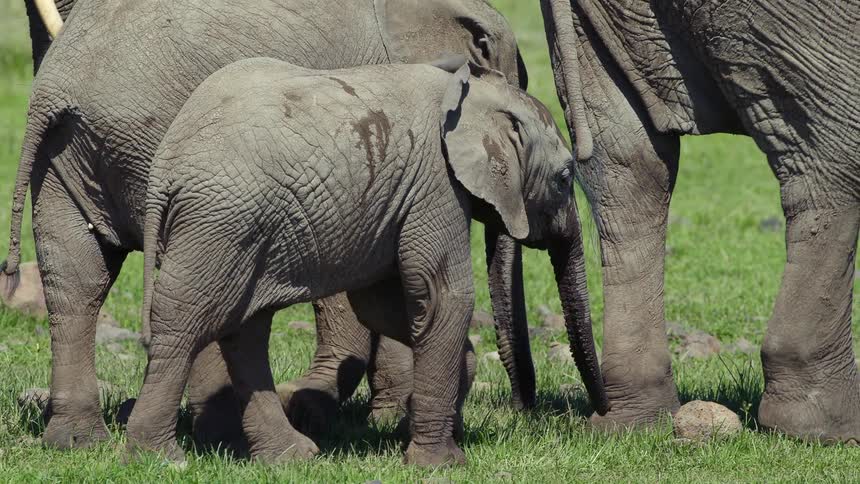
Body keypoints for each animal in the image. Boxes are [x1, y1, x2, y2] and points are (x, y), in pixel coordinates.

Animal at [2, 0, 549, 450]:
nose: (526, 409)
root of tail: (54, 91)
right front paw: (369, 415)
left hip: (64, 159)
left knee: (77, 281)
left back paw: (76, 441)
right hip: (166, 145)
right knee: (197, 285)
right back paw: (221, 434)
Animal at [131, 59, 607, 466]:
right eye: (565, 178)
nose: (597, 417)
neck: (471, 92)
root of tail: (164, 167)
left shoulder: (398, 200)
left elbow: (382, 306)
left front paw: (455, 390)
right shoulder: (436, 184)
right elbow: (441, 297)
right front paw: (442, 463)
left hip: (245, 228)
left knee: (243, 330)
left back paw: (293, 457)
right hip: (222, 221)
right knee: (186, 321)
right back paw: (159, 458)